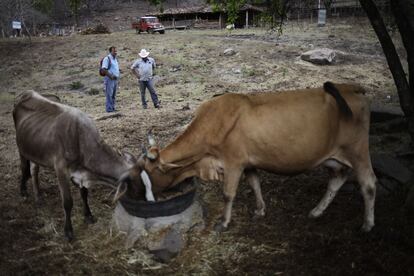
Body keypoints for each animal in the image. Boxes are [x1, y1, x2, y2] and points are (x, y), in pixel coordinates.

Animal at [12, 91, 144, 240]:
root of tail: (27, 93)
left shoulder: (81, 173)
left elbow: (84, 194)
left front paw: (88, 216)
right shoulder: (61, 170)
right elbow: (68, 202)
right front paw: (68, 231)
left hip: (36, 150)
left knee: (34, 170)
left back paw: (38, 197)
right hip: (21, 148)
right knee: (24, 168)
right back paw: (23, 190)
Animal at [116, 81, 378, 233]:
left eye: (150, 176)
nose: (145, 200)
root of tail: (351, 87)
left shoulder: (233, 163)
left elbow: (228, 193)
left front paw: (223, 222)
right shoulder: (249, 162)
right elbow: (255, 184)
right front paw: (260, 210)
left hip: (358, 150)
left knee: (368, 184)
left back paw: (367, 224)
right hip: (334, 157)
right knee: (337, 180)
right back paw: (316, 211)